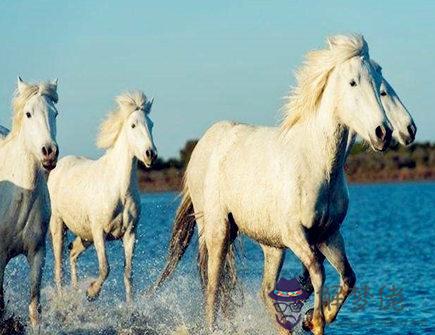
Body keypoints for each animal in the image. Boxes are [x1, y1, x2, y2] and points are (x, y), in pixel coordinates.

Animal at [48, 90, 158, 304]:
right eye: (133, 125)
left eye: (151, 124)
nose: (150, 154)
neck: (120, 190)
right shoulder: (99, 232)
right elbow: (105, 268)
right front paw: (91, 293)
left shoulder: (130, 233)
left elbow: (128, 273)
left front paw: (130, 305)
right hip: (58, 225)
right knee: (58, 267)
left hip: (85, 235)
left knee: (72, 253)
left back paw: (75, 289)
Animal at [156, 34, 392, 335]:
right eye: (352, 82)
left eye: (378, 84)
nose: (383, 133)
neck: (317, 162)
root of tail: (205, 143)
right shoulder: (295, 235)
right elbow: (318, 272)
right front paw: (314, 320)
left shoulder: (329, 234)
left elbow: (348, 277)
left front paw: (312, 318)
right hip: (218, 230)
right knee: (213, 290)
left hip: (271, 246)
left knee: (264, 290)